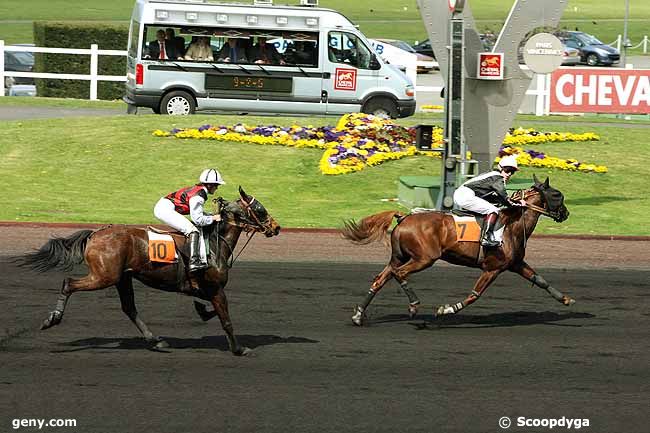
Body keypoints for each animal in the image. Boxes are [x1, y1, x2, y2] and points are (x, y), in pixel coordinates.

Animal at [18, 186, 278, 354]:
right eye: (260, 208)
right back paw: (52, 319)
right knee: (69, 283)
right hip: (104, 276)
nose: (276, 227)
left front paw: (202, 311)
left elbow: (210, 310)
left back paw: (156, 340)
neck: (215, 244)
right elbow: (226, 319)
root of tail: (94, 234)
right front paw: (239, 349)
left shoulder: (204, 289)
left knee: (129, 308)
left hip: (122, 278)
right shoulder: (215, 288)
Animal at [340, 175, 572, 324]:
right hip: (424, 258)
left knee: (380, 279)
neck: (511, 225)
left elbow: (540, 280)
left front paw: (565, 299)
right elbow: (475, 295)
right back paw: (414, 305)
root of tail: (404, 217)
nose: (566, 213)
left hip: (398, 257)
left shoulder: (515, 263)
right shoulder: (493, 268)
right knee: (400, 274)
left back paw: (359, 315)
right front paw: (447, 309)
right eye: (557, 194)